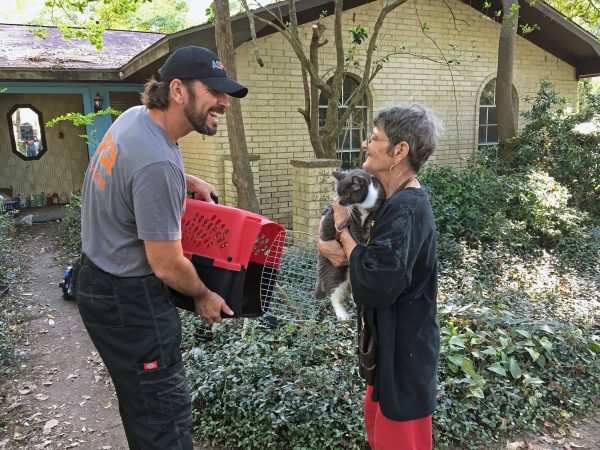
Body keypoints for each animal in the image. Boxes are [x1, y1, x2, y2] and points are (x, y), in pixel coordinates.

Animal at [314, 168, 384, 320]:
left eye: (346, 194)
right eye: (338, 192)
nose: (339, 202)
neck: (365, 204)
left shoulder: (377, 202)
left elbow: (369, 221)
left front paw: (367, 234)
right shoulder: (352, 218)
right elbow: (356, 231)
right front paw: (362, 244)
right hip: (334, 270)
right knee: (334, 294)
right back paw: (342, 314)